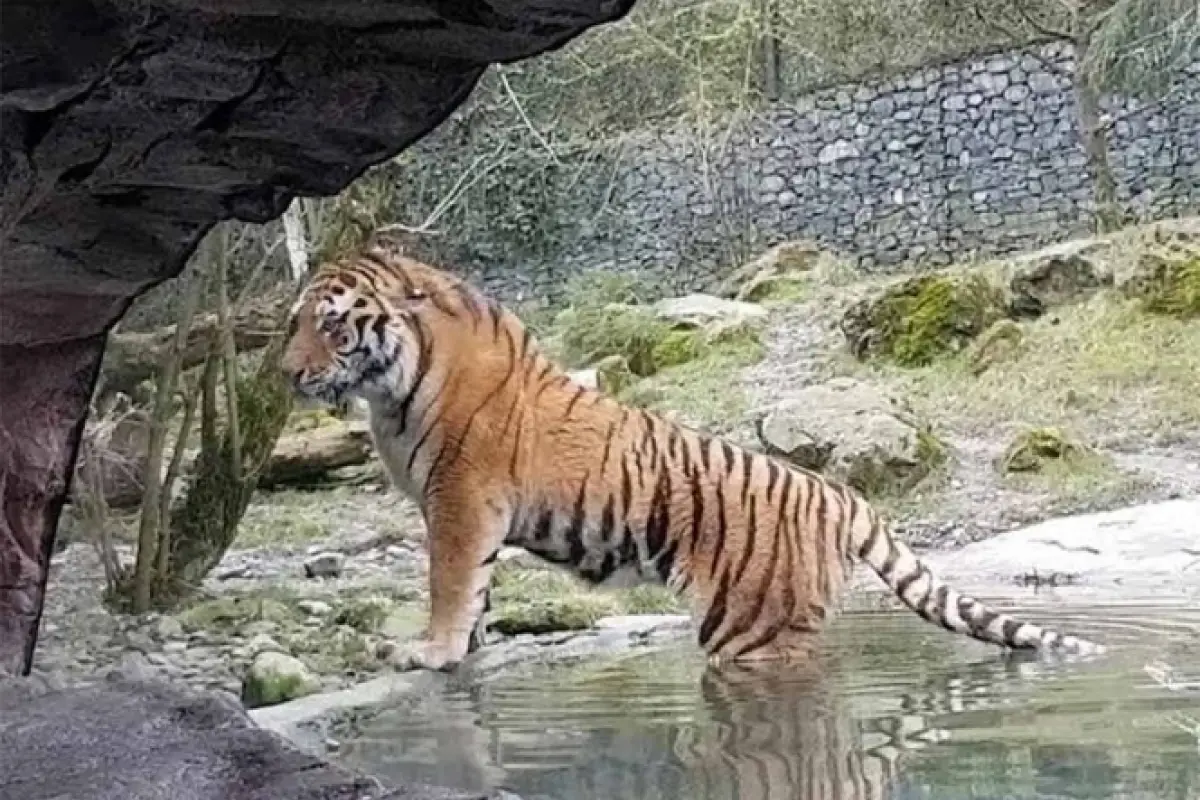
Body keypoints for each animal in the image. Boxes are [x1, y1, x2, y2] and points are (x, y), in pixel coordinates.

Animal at [280, 236, 1105, 673]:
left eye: (333, 325)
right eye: (293, 323)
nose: (288, 374)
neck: (392, 385)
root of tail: (840, 494)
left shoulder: (459, 499)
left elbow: (448, 583)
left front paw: (430, 651)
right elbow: (477, 591)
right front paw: (467, 650)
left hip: (754, 628)